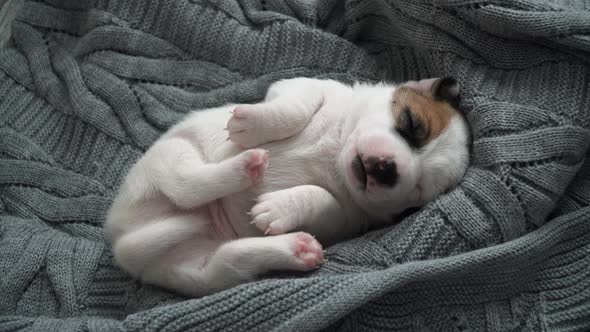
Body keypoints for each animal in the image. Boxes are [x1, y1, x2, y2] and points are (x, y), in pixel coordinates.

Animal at [105, 76, 472, 296]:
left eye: (417, 193)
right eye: (411, 123)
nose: (385, 170)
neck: (336, 154)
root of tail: (124, 238)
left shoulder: (344, 219)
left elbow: (322, 198)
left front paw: (277, 208)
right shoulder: (303, 85)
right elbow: (294, 108)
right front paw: (251, 124)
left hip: (202, 272)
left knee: (228, 254)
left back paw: (293, 245)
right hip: (171, 155)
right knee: (186, 184)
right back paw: (247, 165)